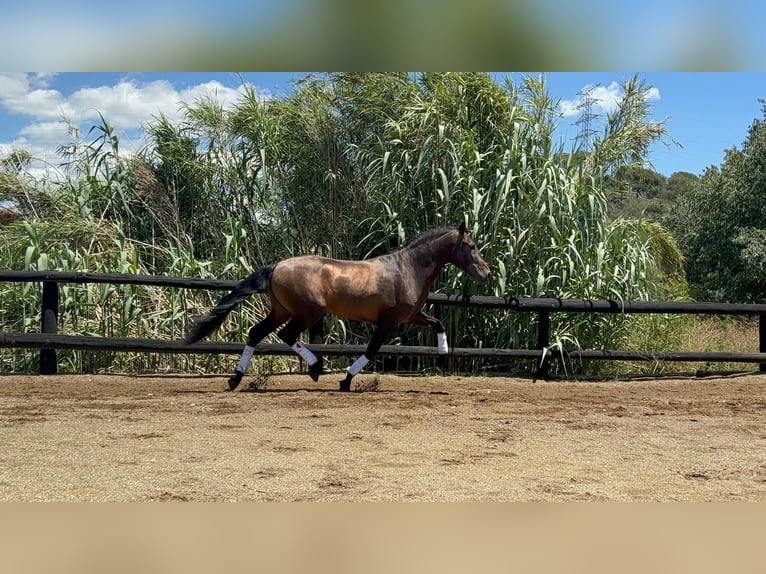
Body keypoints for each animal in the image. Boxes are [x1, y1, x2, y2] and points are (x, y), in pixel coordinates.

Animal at [183, 222, 488, 392]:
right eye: (471, 245)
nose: (486, 272)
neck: (407, 270)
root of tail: (277, 266)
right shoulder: (388, 322)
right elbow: (372, 350)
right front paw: (346, 382)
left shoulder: (411, 316)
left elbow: (438, 323)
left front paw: (443, 359)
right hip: (307, 312)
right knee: (285, 335)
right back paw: (316, 367)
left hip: (281, 311)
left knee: (256, 333)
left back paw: (235, 380)